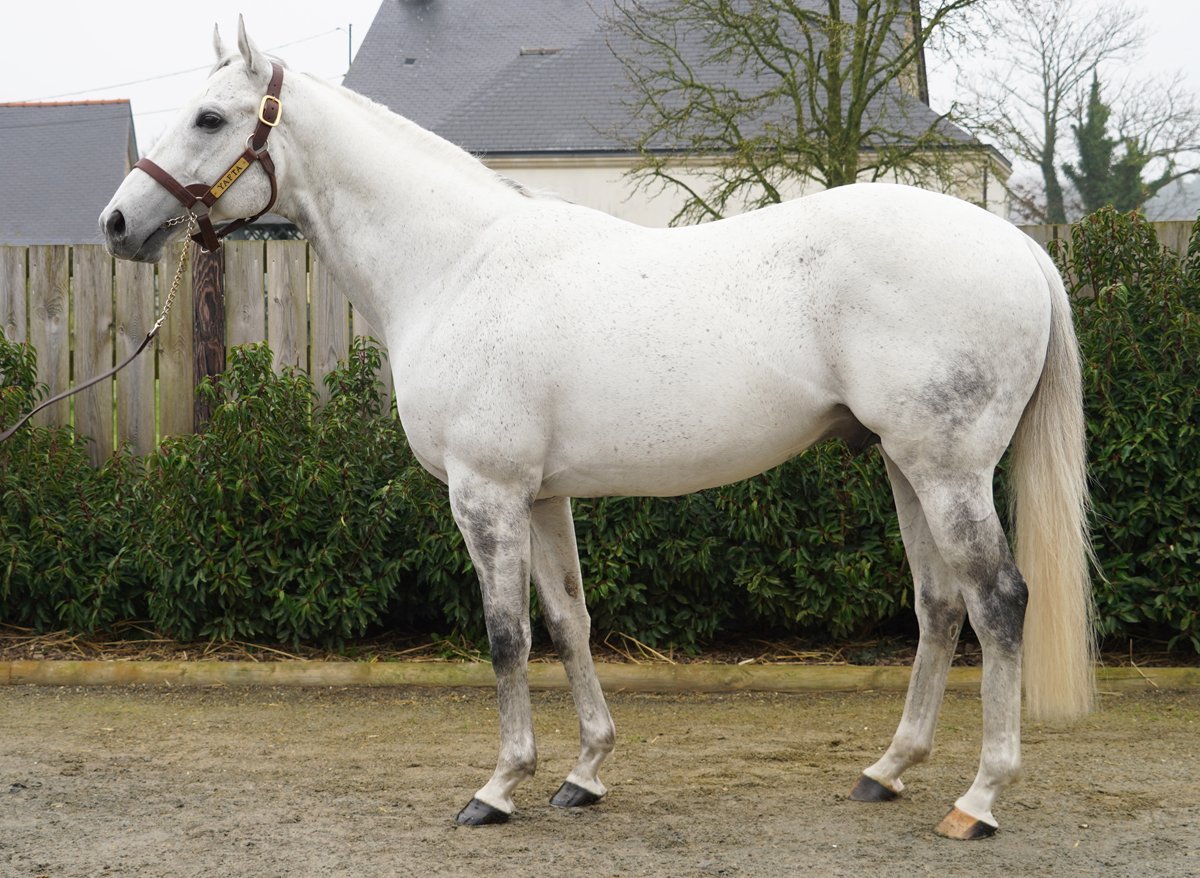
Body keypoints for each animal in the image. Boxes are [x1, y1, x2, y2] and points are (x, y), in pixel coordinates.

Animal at [100, 18, 1094, 840]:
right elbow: (569, 620)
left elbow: (506, 634)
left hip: (948, 469)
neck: (456, 264)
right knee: (939, 605)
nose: (117, 223)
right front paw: (584, 774)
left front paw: (498, 787)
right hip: (903, 464)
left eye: (209, 116)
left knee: (998, 600)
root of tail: (1018, 246)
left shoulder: (486, 494)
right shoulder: (542, 498)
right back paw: (887, 771)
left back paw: (978, 799)